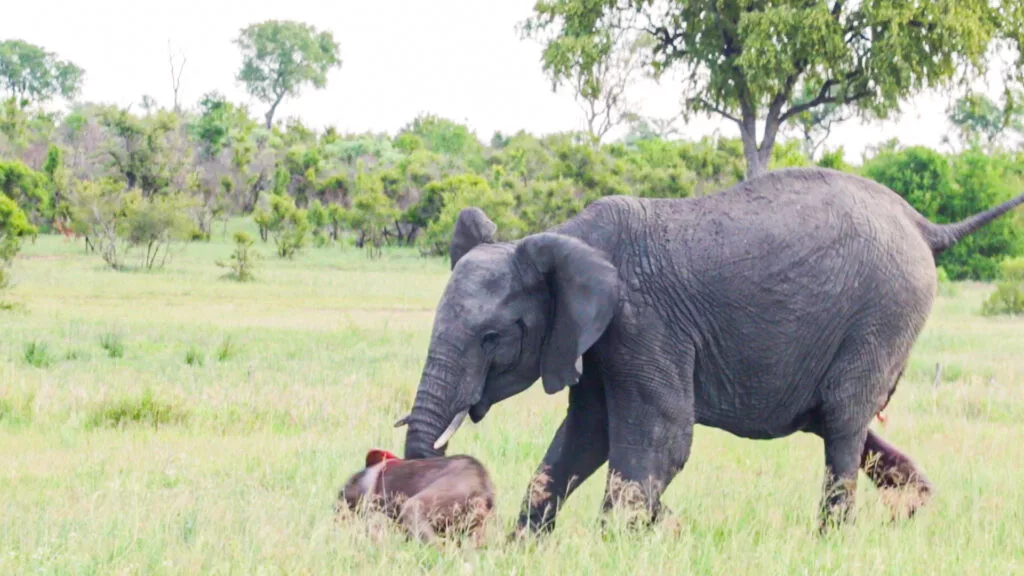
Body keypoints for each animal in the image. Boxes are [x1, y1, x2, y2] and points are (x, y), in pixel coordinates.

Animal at [393, 167, 1024, 532]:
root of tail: (924, 225)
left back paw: (833, 540)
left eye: (491, 337)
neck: (565, 237)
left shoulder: (642, 324)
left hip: (884, 312)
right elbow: (584, 437)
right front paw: (525, 544)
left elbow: (663, 438)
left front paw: (619, 540)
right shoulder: (593, 341)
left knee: (844, 425)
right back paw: (914, 510)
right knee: (844, 421)